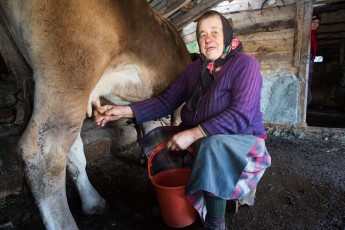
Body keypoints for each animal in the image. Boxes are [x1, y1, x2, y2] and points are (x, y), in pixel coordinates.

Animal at [0, 0, 189, 229]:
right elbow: (167, 124)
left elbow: (145, 126)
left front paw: (145, 156)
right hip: (70, 77)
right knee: (45, 154)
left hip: (29, 76)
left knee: (70, 147)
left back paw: (93, 202)